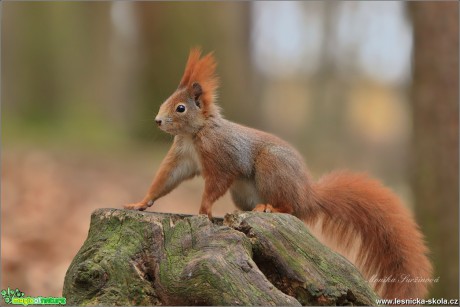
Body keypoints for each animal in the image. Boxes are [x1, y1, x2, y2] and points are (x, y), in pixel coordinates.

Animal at [125, 48, 432, 300]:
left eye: (181, 107)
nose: (157, 121)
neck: (196, 133)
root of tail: (307, 194)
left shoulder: (223, 159)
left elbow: (215, 184)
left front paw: (203, 209)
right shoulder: (182, 158)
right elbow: (165, 179)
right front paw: (140, 202)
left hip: (272, 169)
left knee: (291, 208)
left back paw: (271, 207)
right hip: (242, 194)